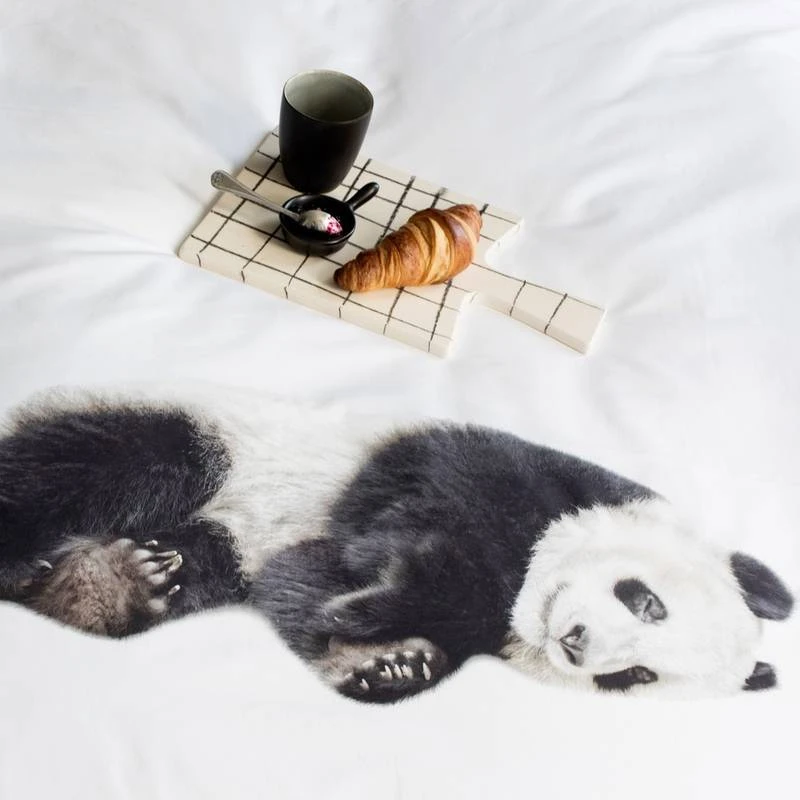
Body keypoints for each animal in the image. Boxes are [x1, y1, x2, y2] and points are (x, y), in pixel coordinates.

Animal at [0, 384, 794, 703]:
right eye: (646, 601)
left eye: (634, 676)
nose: (575, 644)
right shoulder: (494, 464)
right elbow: (428, 506)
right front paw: (381, 617)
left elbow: (299, 586)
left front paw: (390, 664)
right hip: (208, 434)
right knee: (107, 461)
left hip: (221, 539)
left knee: (197, 560)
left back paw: (110, 587)